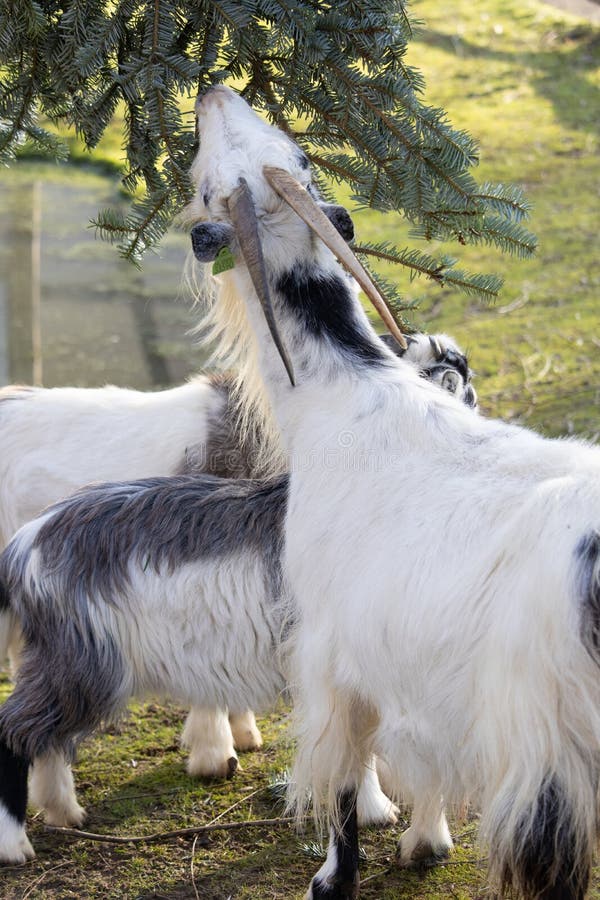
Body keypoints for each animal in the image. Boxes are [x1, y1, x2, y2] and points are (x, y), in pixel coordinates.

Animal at [179, 85, 600, 899]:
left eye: (210, 186)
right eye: (301, 154)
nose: (212, 92)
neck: (343, 397)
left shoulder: (330, 648)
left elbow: (344, 781)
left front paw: (330, 880)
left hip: (550, 737)